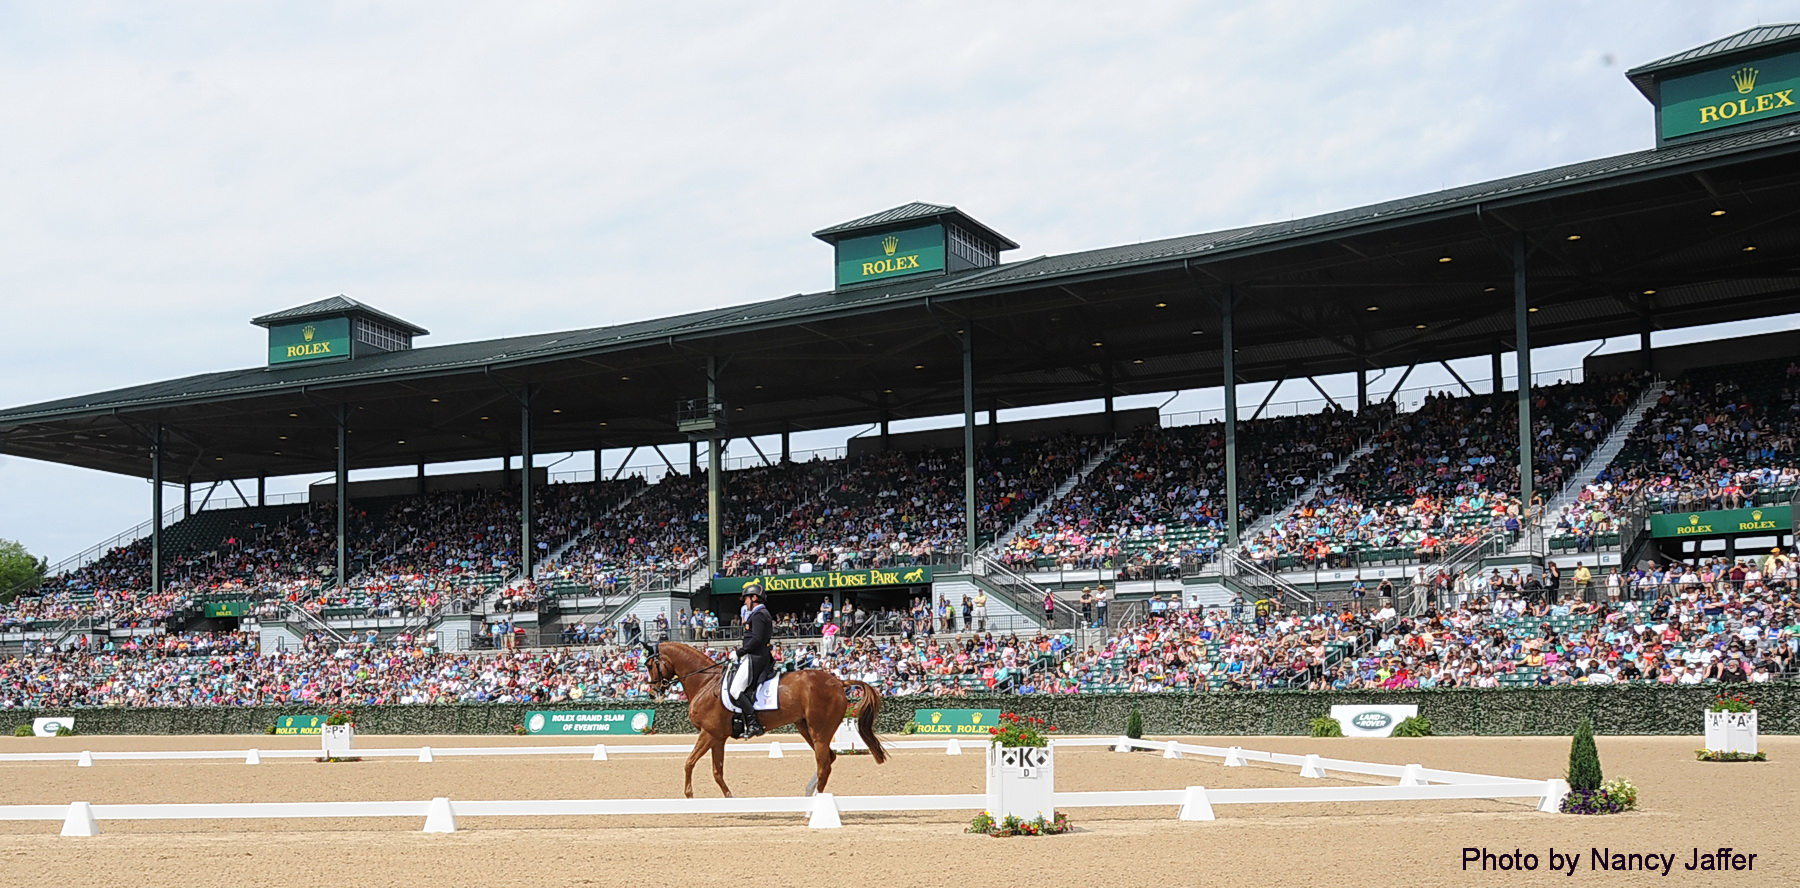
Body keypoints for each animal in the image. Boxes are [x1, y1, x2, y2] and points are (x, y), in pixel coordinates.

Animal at [644, 637, 889, 796]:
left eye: (649, 664)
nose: (653, 692)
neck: (706, 682)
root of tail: (838, 681)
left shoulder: (708, 733)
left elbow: (689, 762)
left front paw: (689, 795)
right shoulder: (718, 737)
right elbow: (717, 771)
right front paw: (730, 799)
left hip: (819, 731)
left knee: (824, 765)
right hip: (806, 727)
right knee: (829, 758)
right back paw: (809, 793)